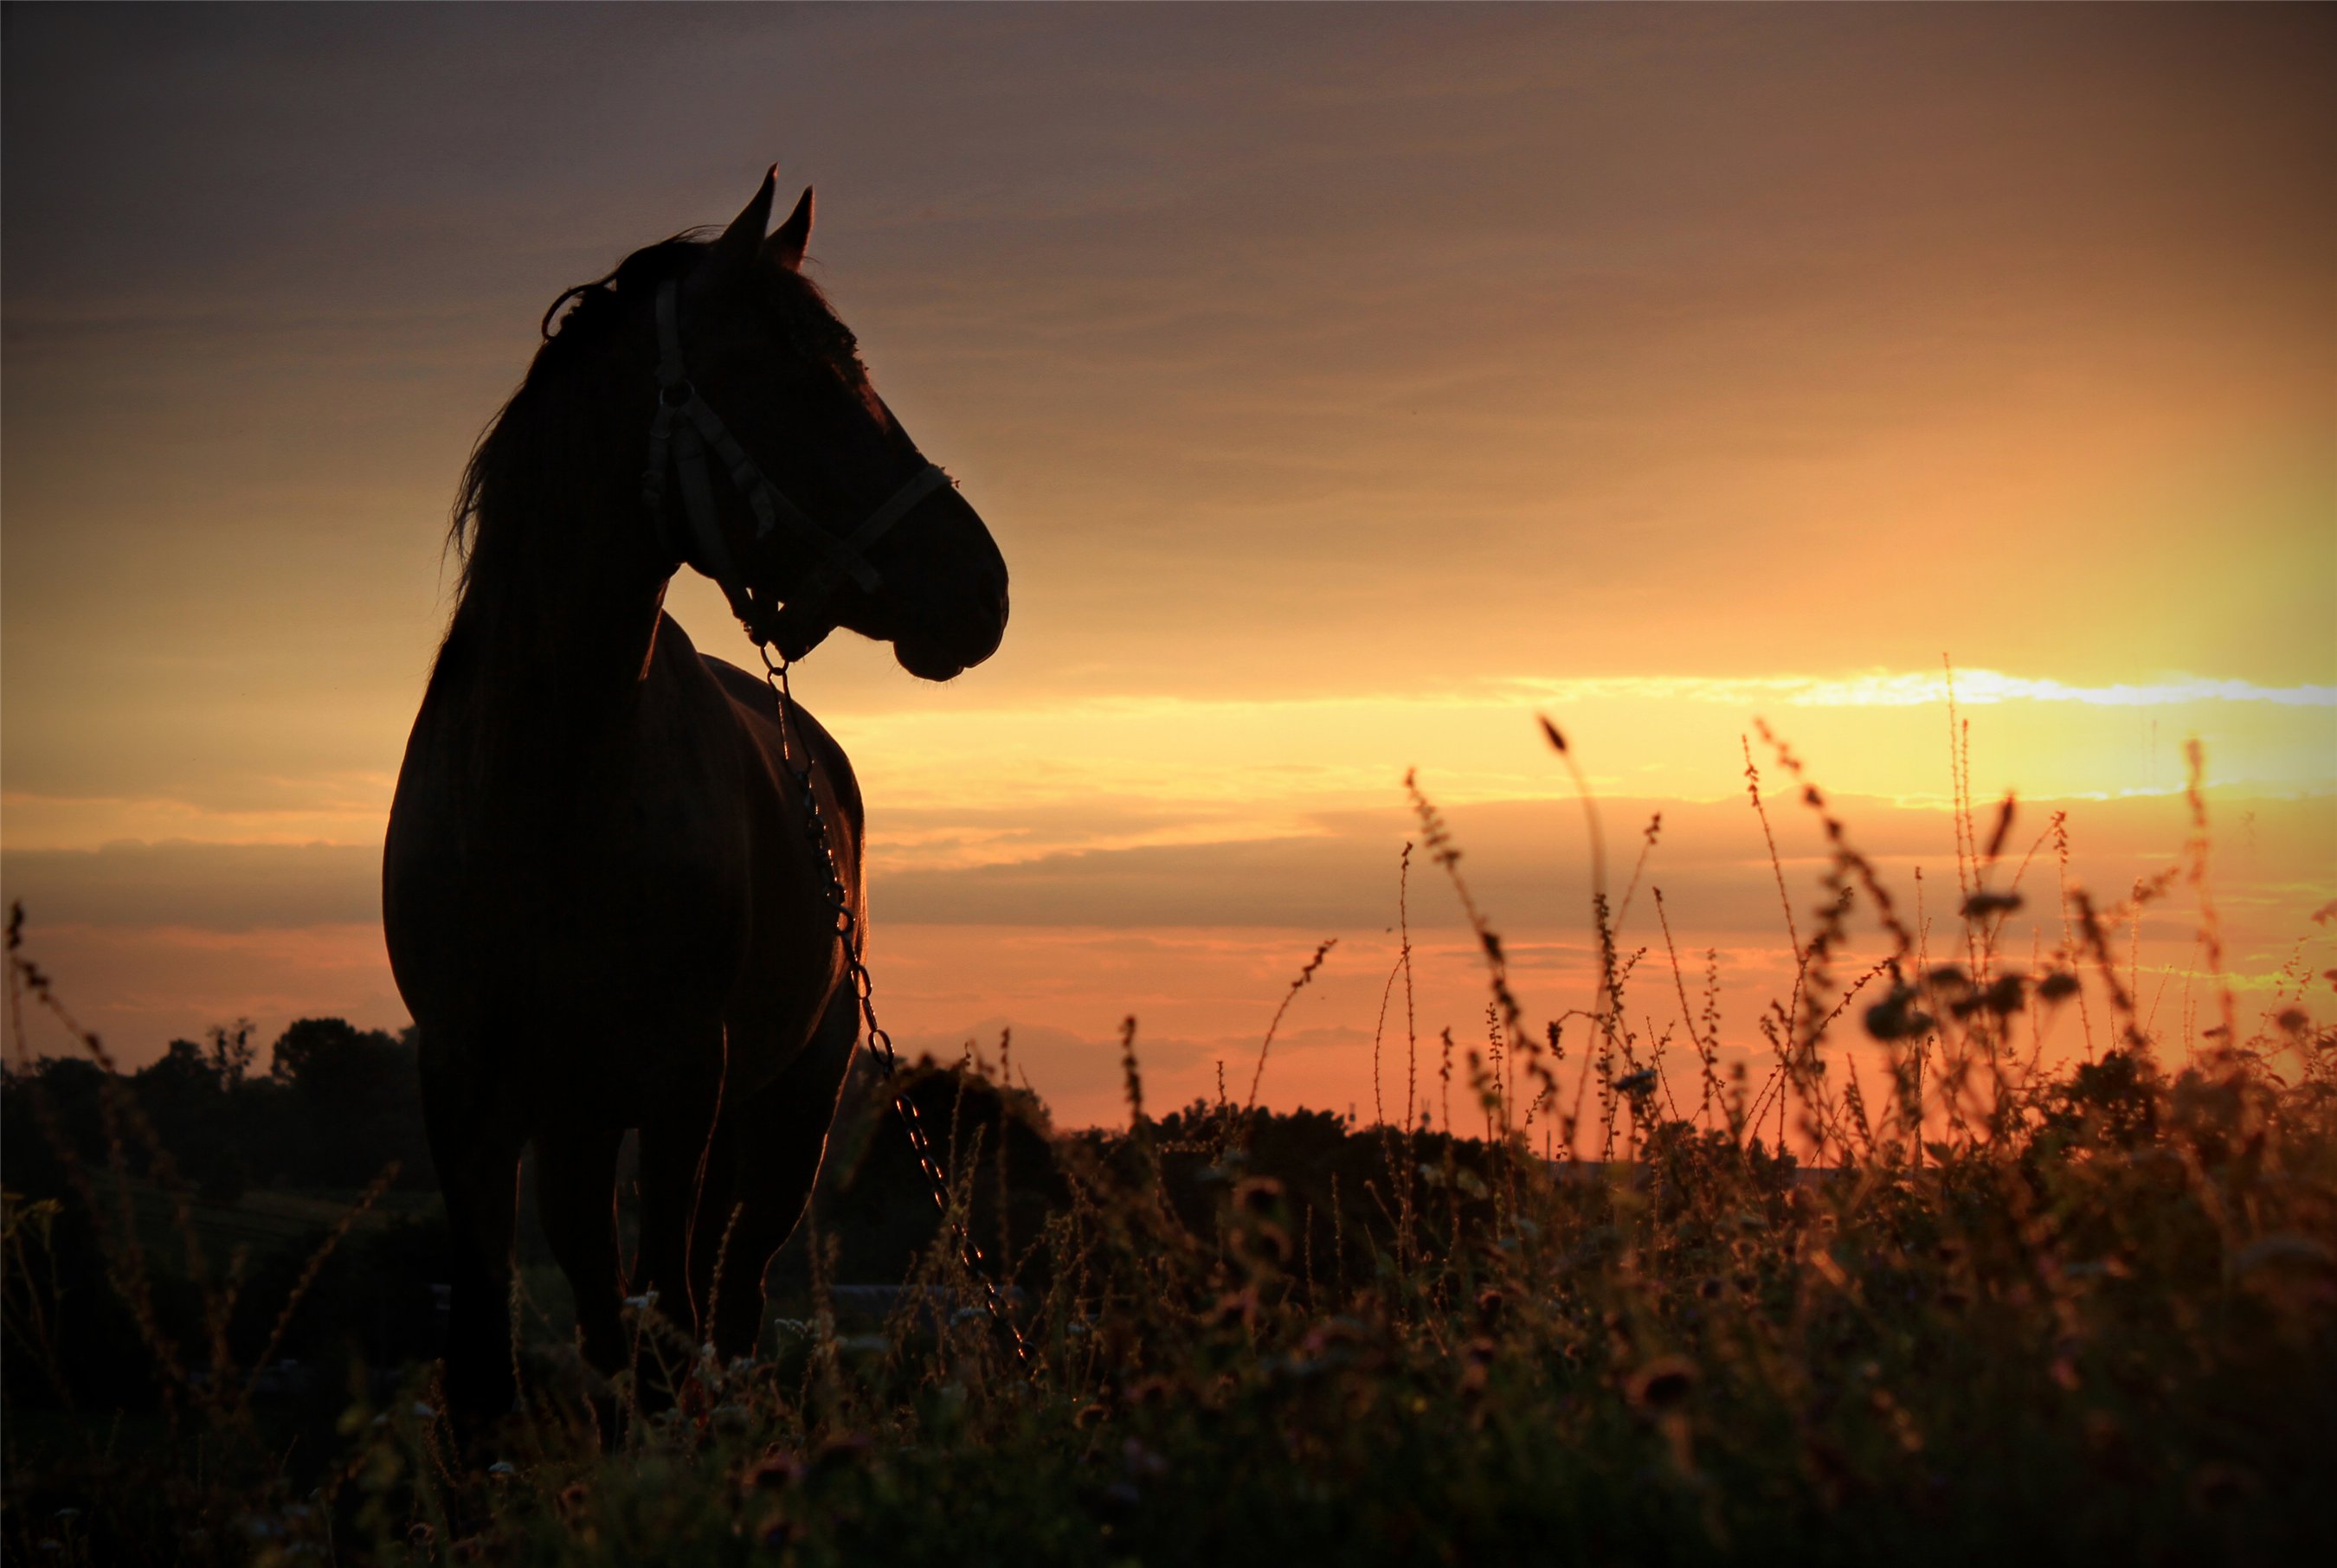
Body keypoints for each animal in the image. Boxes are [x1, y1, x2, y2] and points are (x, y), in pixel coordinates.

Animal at [383, 171, 1005, 1420]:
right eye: (797, 373)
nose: (983, 587)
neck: (544, 786)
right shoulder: (466, 1083)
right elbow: (486, 1370)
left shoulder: (685, 1081)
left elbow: (675, 1337)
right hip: (582, 1121)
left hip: (783, 1111)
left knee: (728, 1300)